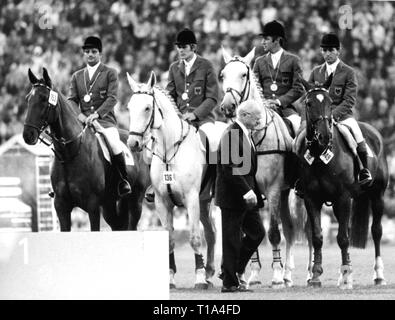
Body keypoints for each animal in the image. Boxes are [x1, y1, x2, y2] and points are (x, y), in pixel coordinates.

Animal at [23, 69, 150, 231]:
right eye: (28, 99)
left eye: (44, 99)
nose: (28, 135)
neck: (70, 153)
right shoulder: (61, 206)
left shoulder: (92, 206)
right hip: (109, 205)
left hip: (135, 201)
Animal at [127, 71, 226, 288]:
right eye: (129, 107)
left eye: (147, 108)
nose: (133, 143)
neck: (169, 149)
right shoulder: (161, 202)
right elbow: (170, 239)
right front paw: (170, 278)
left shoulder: (191, 199)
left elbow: (195, 238)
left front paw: (198, 278)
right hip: (204, 202)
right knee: (211, 233)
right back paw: (209, 272)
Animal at [220, 47, 310, 288]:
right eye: (222, 75)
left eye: (243, 74)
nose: (227, 107)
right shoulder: (253, 192)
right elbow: (252, 234)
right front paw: (252, 274)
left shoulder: (273, 189)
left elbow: (272, 233)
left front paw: (276, 275)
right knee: (290, 229)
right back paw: (288, 274)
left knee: (304, 231)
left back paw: (304, 273)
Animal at [298, 79, 388, 288]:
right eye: (309, 103)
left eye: (330, 102)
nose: (324, 136)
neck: (320, 155)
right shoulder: (311, 199)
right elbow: (317, 237)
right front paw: (316, 275)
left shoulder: (344, 198)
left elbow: (342, 238)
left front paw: (347, 275)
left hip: (377, 196)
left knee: (376, 231)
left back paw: (378, 275)